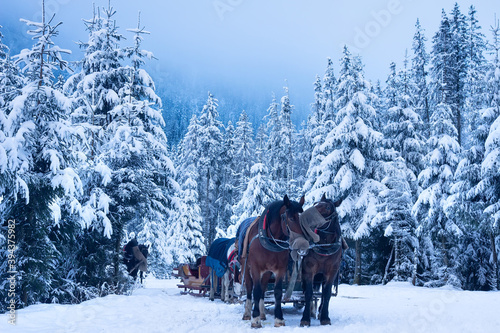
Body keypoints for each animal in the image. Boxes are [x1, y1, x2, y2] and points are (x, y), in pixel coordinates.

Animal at [239, 195, 304, 326]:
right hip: (245, 267)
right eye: (291, 218)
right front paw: (255, 319)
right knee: (249, 288)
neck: (269, 240)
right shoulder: (255, 268)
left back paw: (262, 314)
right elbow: (256, 291)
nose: (302, 243)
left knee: (263, 289)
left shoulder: (280, 269)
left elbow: (277, 292)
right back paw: (248, 313)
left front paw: (279, 318)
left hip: (267, 272)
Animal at [300, 193, 344, 326]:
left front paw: (325, 317)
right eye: (315, 203)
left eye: (328, 207)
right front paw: (305, 318)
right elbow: (308, 293)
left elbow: (327, 293)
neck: (325, 247)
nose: (305, 217)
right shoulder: (308, 270)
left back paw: (319, 312)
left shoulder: (331, 272)